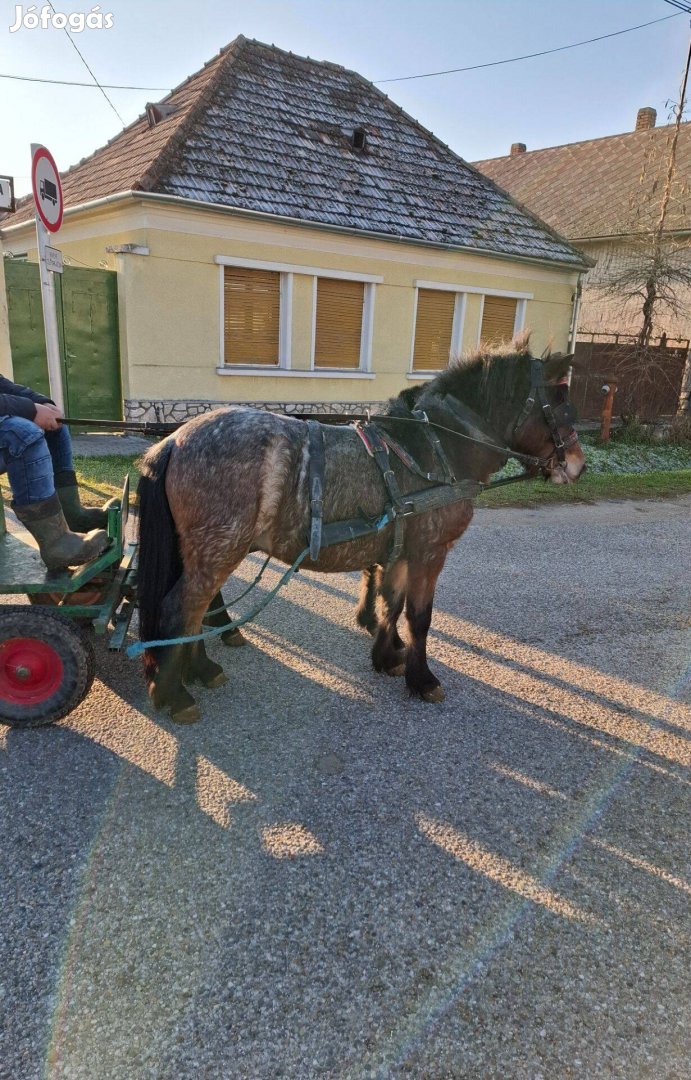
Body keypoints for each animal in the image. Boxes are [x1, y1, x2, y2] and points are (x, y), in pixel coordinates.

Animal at [137, 345, 587, 721]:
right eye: (562, 407)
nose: (579, 465)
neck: (435, 448)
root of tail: (174, 440)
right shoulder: (430, 553)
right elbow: (419, 617)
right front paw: (422, 679)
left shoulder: (401, 550)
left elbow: (391, 603)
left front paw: (387, 656)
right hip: (218, 549)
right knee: (182, 609)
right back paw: (174, 692)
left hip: (208, 550)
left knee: (198, 609)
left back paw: (200, 667)